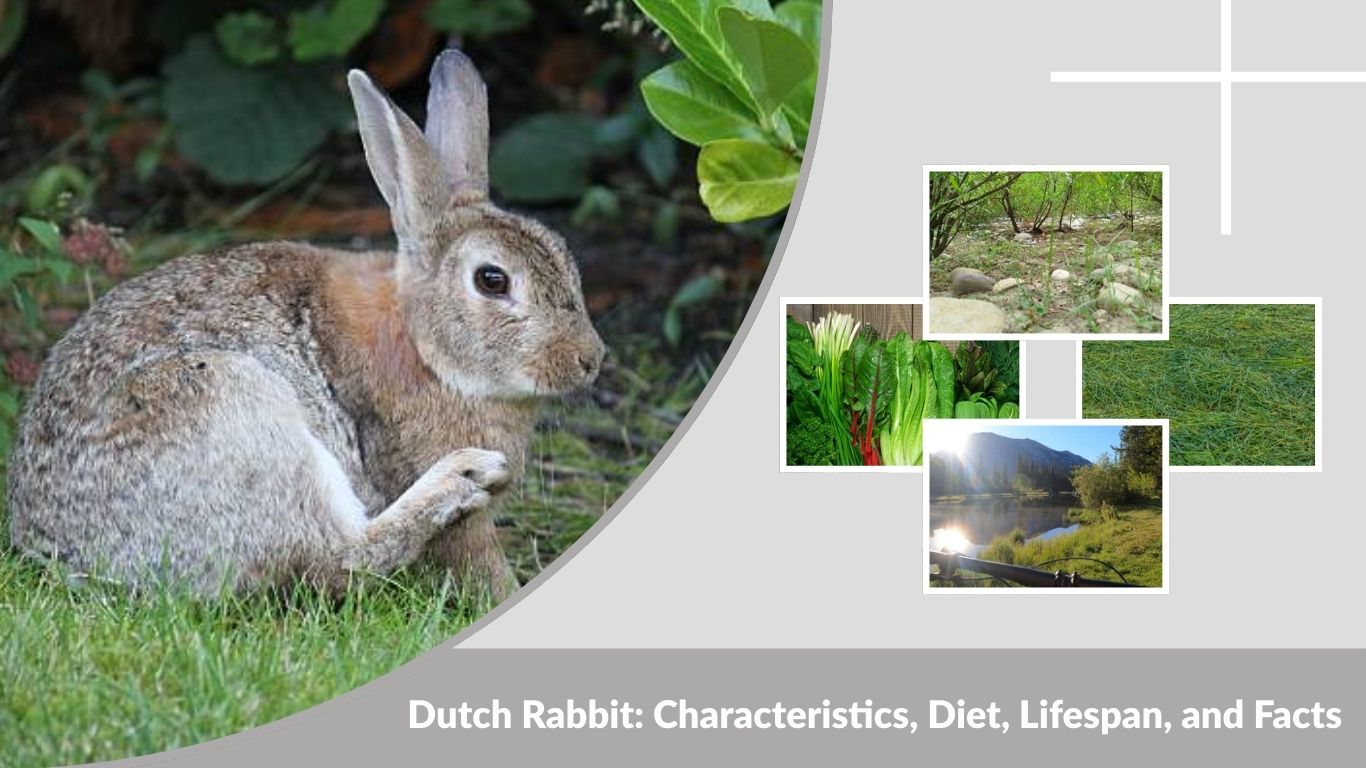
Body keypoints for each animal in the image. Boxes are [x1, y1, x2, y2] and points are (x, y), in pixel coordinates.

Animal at [5, 49, 606, 602]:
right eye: (492, 280)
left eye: (563, 253)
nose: (590, 359)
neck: (424, 346)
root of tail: (70, 555)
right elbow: (472, 558)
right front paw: (506, 591)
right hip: (220, 400)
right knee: (337, 560)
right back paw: (463, 476)